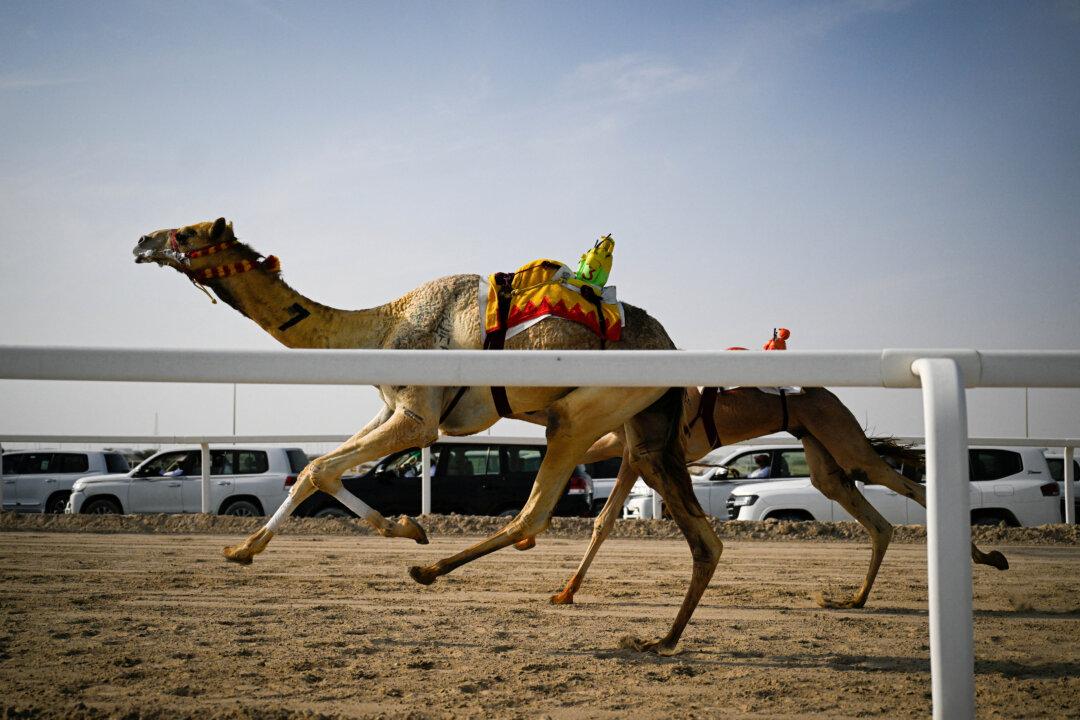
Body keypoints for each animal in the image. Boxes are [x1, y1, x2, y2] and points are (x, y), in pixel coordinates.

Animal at [133, 217, 717, 654]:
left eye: (185, 232)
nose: (141, 242)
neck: (381, 330)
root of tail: (670, 347)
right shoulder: (391, 406)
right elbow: (314, 471)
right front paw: (242, 549)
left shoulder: (418, 417)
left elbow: (322, 467)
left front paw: (409, 530)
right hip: (645, 430)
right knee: (702, 537)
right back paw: (661, 640)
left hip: (581, 413)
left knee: (532, 515)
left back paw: (428, 570)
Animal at [546, 385, 1010, 608]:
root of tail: (830, 395)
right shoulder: (631, 452)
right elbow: (603, 521)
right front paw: (566, 592)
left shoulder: (634, 449)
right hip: (822, 451)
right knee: (873, 517)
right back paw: (853, 598)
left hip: (842, 438)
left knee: (906, 485)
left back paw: (990, 557)